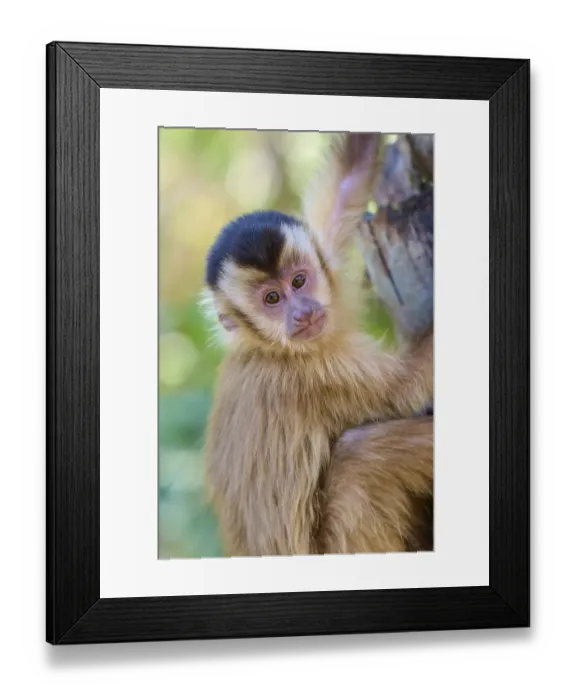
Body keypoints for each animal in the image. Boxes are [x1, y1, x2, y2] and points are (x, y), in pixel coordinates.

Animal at [201, 132, 434, 557]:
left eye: (298, 281)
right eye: (272, 299)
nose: (302, 313)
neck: (269, 347)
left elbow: (343, 190)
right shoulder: (312, 374)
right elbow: (406, 386)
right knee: (360, 458)